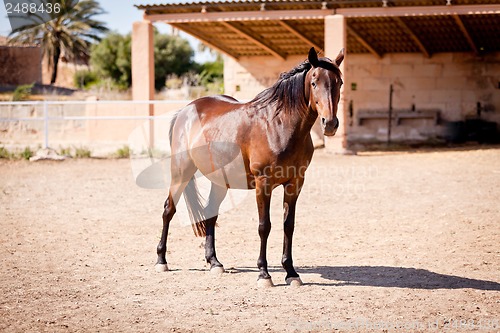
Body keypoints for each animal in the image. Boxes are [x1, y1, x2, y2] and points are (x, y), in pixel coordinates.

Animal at [156, 46, 344, 286]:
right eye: (314, 82)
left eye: (339, 82)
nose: (330, 124)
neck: (279, 125)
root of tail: (185, 111)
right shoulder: (263, 184)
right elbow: (264, 226)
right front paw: (264, 274)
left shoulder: (295, 183)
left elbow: (288, 226)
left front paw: (291, 272)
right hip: (181, 172)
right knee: (168, 210)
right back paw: (161, 260)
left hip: (219, 182)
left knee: (210, 214)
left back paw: (214, 262)